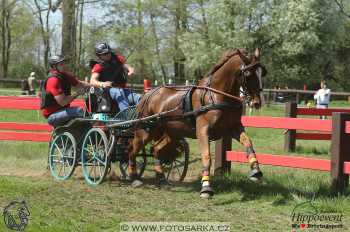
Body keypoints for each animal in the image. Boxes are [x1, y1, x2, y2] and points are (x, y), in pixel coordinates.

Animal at [129, 48, 266, 198]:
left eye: (263, 73)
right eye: (248, 74)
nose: (257, 102)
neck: (217, 95)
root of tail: (148, 94)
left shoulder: (233, 128)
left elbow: (248, 143)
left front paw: (256, 171)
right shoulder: (203, 130)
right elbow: (206, 156)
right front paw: (206, 187)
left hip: (172, 134)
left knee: (156, 149)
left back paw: (161, 179)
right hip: (145, 132)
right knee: (132, 150)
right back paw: (134, 178)